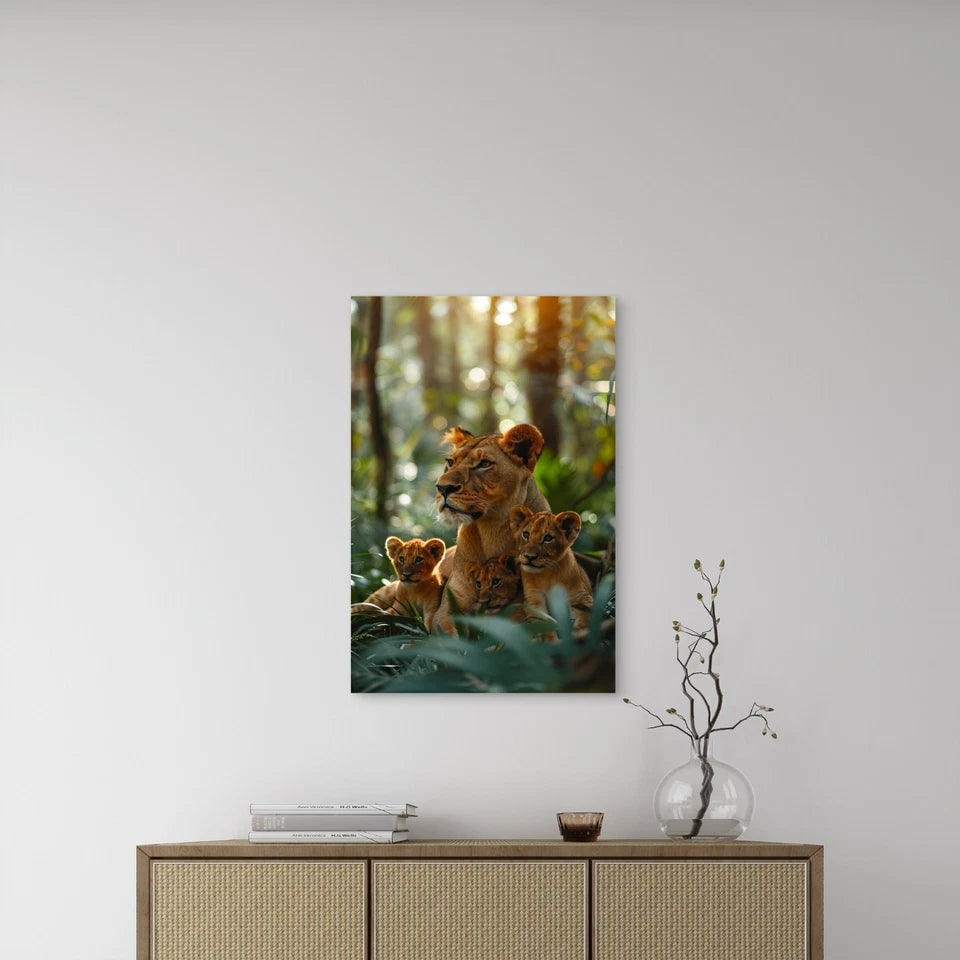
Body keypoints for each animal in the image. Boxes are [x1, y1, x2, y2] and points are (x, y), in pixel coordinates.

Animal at [508, 506, 593, 640]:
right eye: (526, 534)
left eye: (548, 538)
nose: (529, 557)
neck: (547, 574)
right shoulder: (534, 599)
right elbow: (544, 624)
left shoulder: (581, 598)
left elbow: (583, 621)